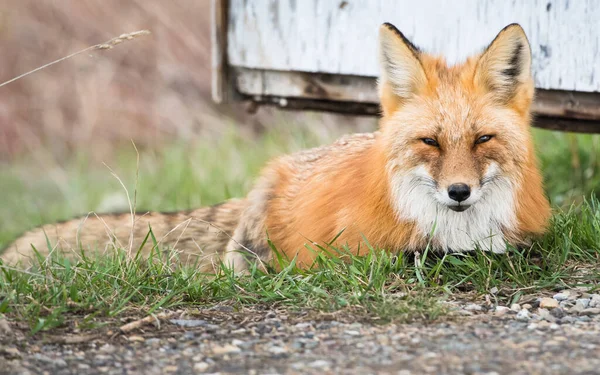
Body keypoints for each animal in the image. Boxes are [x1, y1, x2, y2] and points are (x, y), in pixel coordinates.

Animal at [2, 22, 552, 272]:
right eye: (430, 142)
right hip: (255, 247)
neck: (459, 233)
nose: (458, 192)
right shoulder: (362, 252)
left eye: (482, 139)